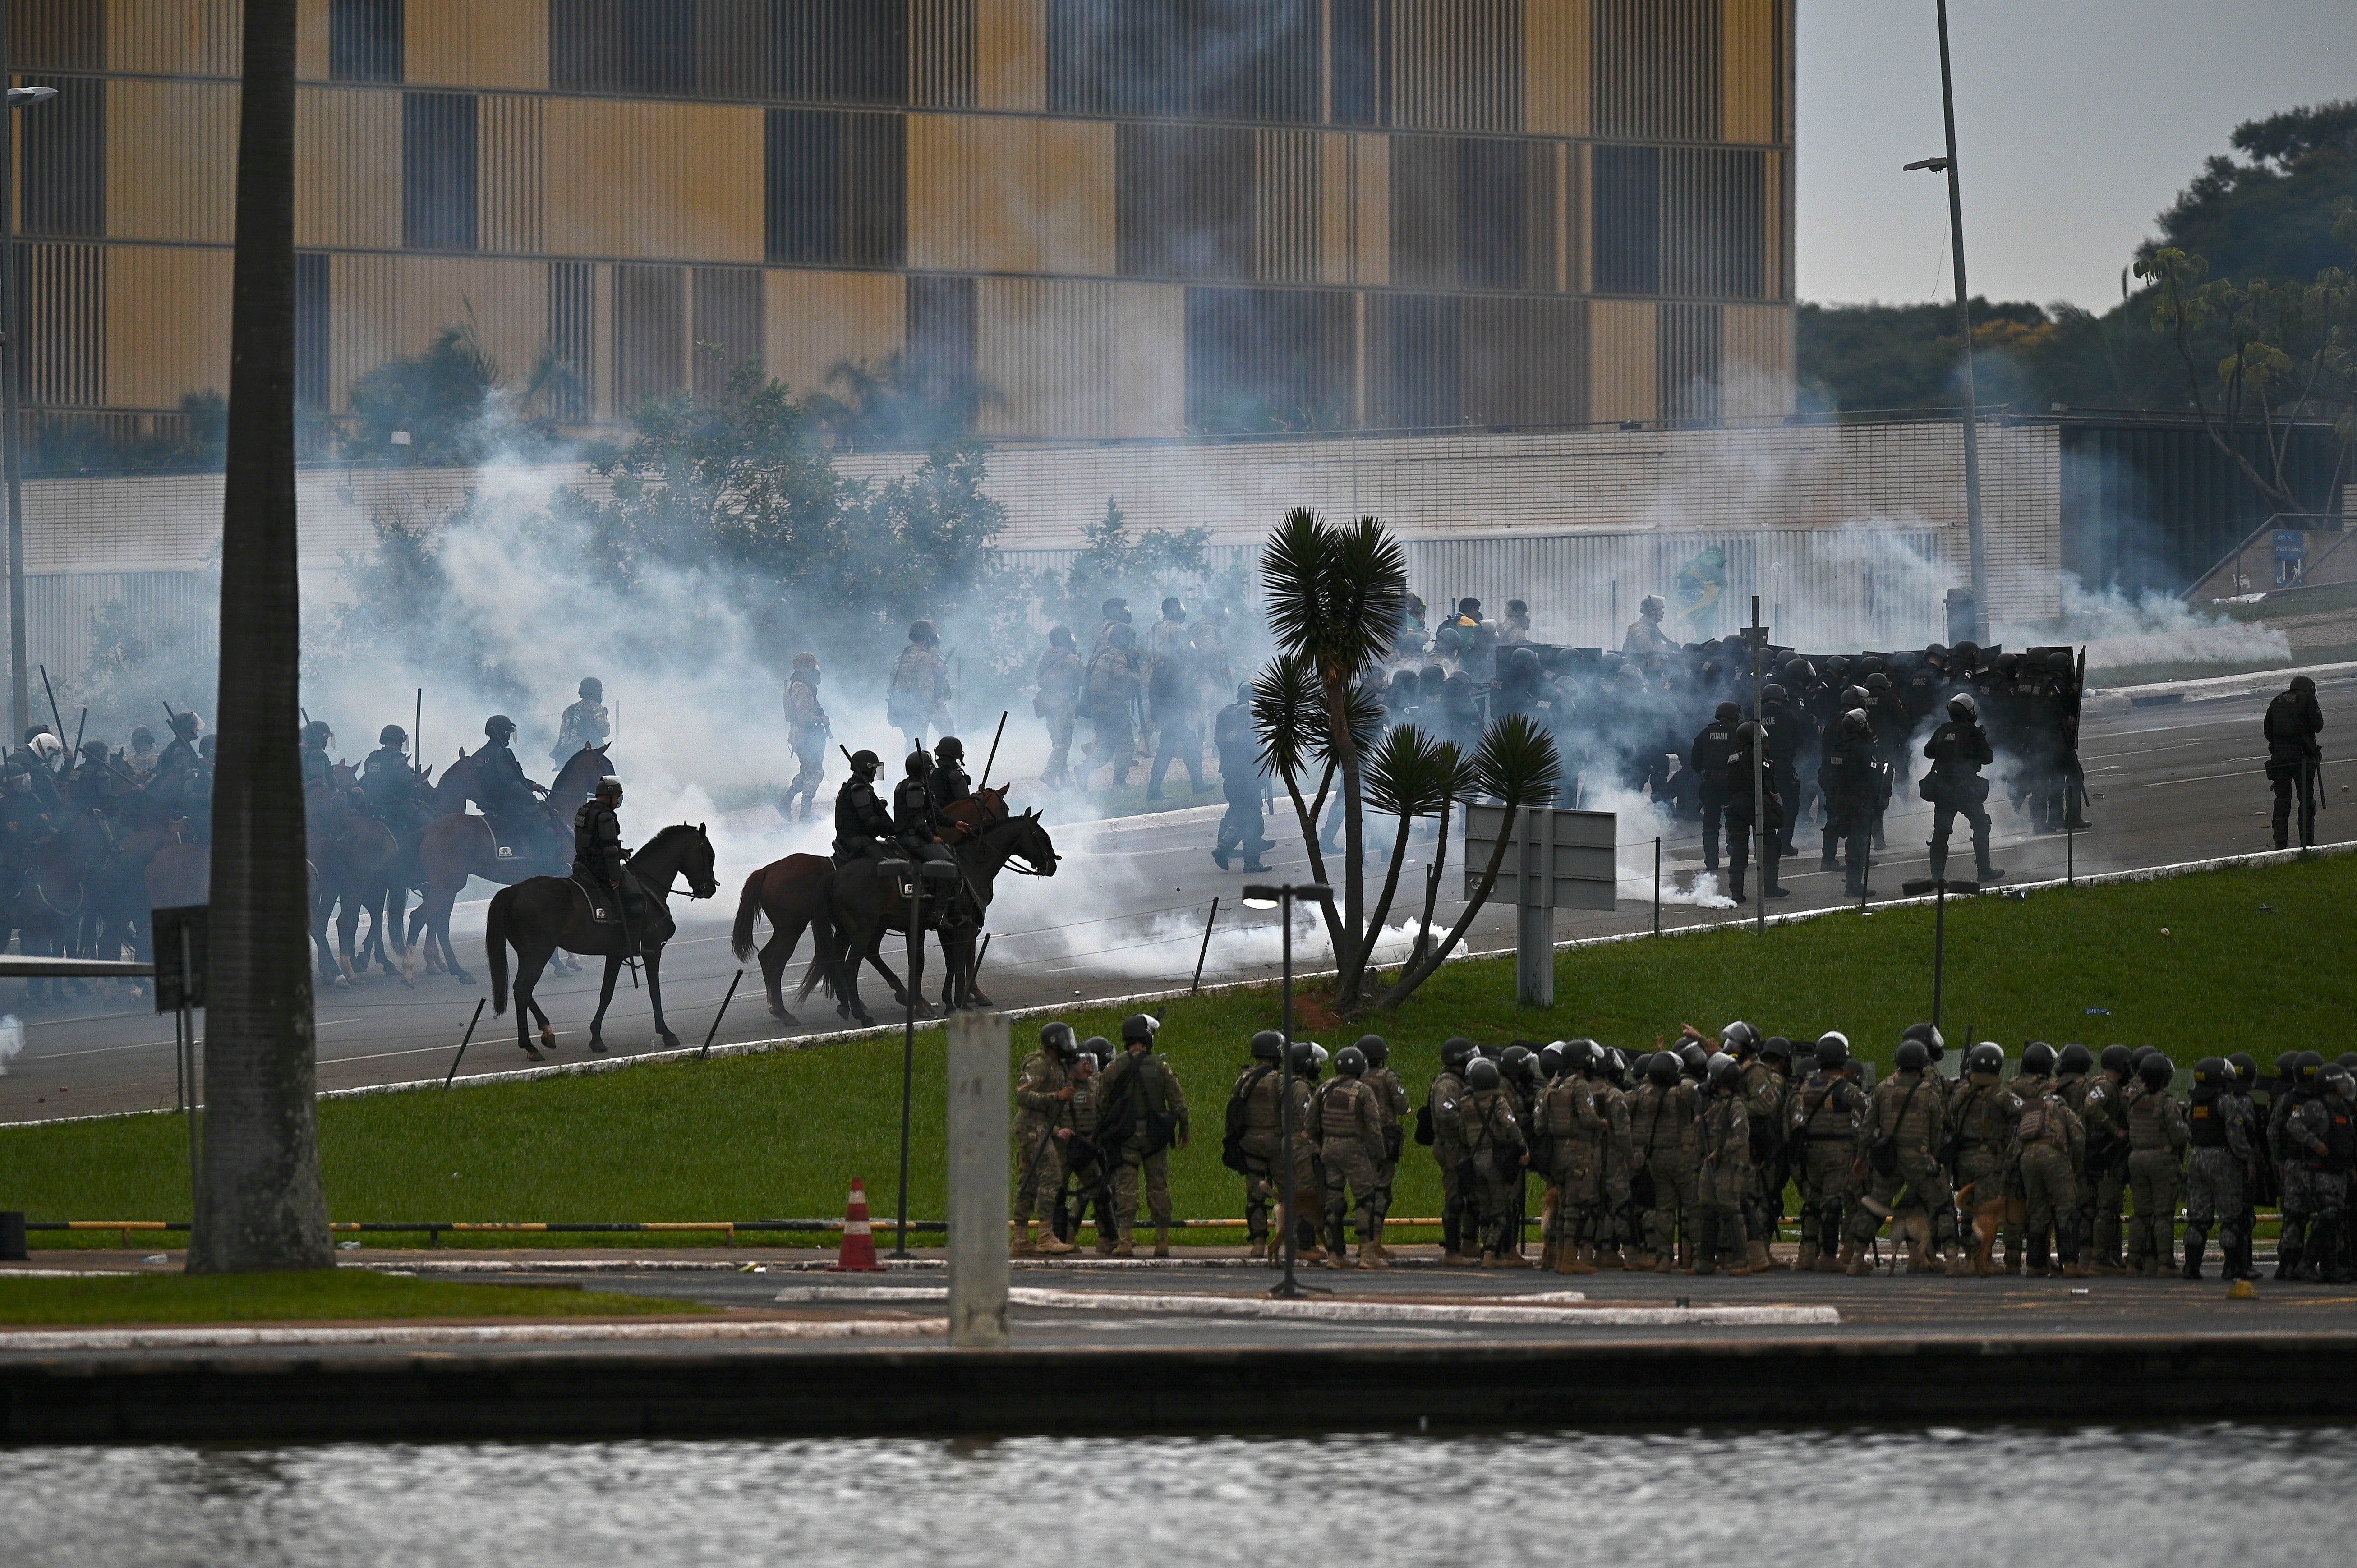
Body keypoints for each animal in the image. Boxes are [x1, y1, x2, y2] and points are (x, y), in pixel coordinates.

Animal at [485, 820, 716, 1066]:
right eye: (708, 854)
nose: (711, 888)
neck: (647, 886)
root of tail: (513, 891)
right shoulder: (652, 951)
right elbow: (654, 991)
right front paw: (666, 1033)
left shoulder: (615, 954)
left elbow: (606, 993)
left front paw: (596, 1037)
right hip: (538, 953)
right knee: (522, 990)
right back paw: (530, 1044)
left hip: (532, 955)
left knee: (523, 991)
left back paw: (546, 1033)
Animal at [726, 782, 1004, 1028]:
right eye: (1002, 807)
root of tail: (765, 871)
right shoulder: (941, 923)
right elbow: (952, 956)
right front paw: (968, 996)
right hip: (793, 929)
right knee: (775, 961)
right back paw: (786, 1013)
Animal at [801, 806, 1060, 1028]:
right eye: (1040, 835)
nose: (1052, 866)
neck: (970, 865)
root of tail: (836, 875)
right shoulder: (963, 926)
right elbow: (956, 964)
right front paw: (960, 1003)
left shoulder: (947, 928)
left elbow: (950, 964)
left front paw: (949, 1004)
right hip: (863, 931)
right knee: (850, 968)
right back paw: (863, 1014)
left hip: (853, 931)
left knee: (843, 961)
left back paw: (851, 1006)